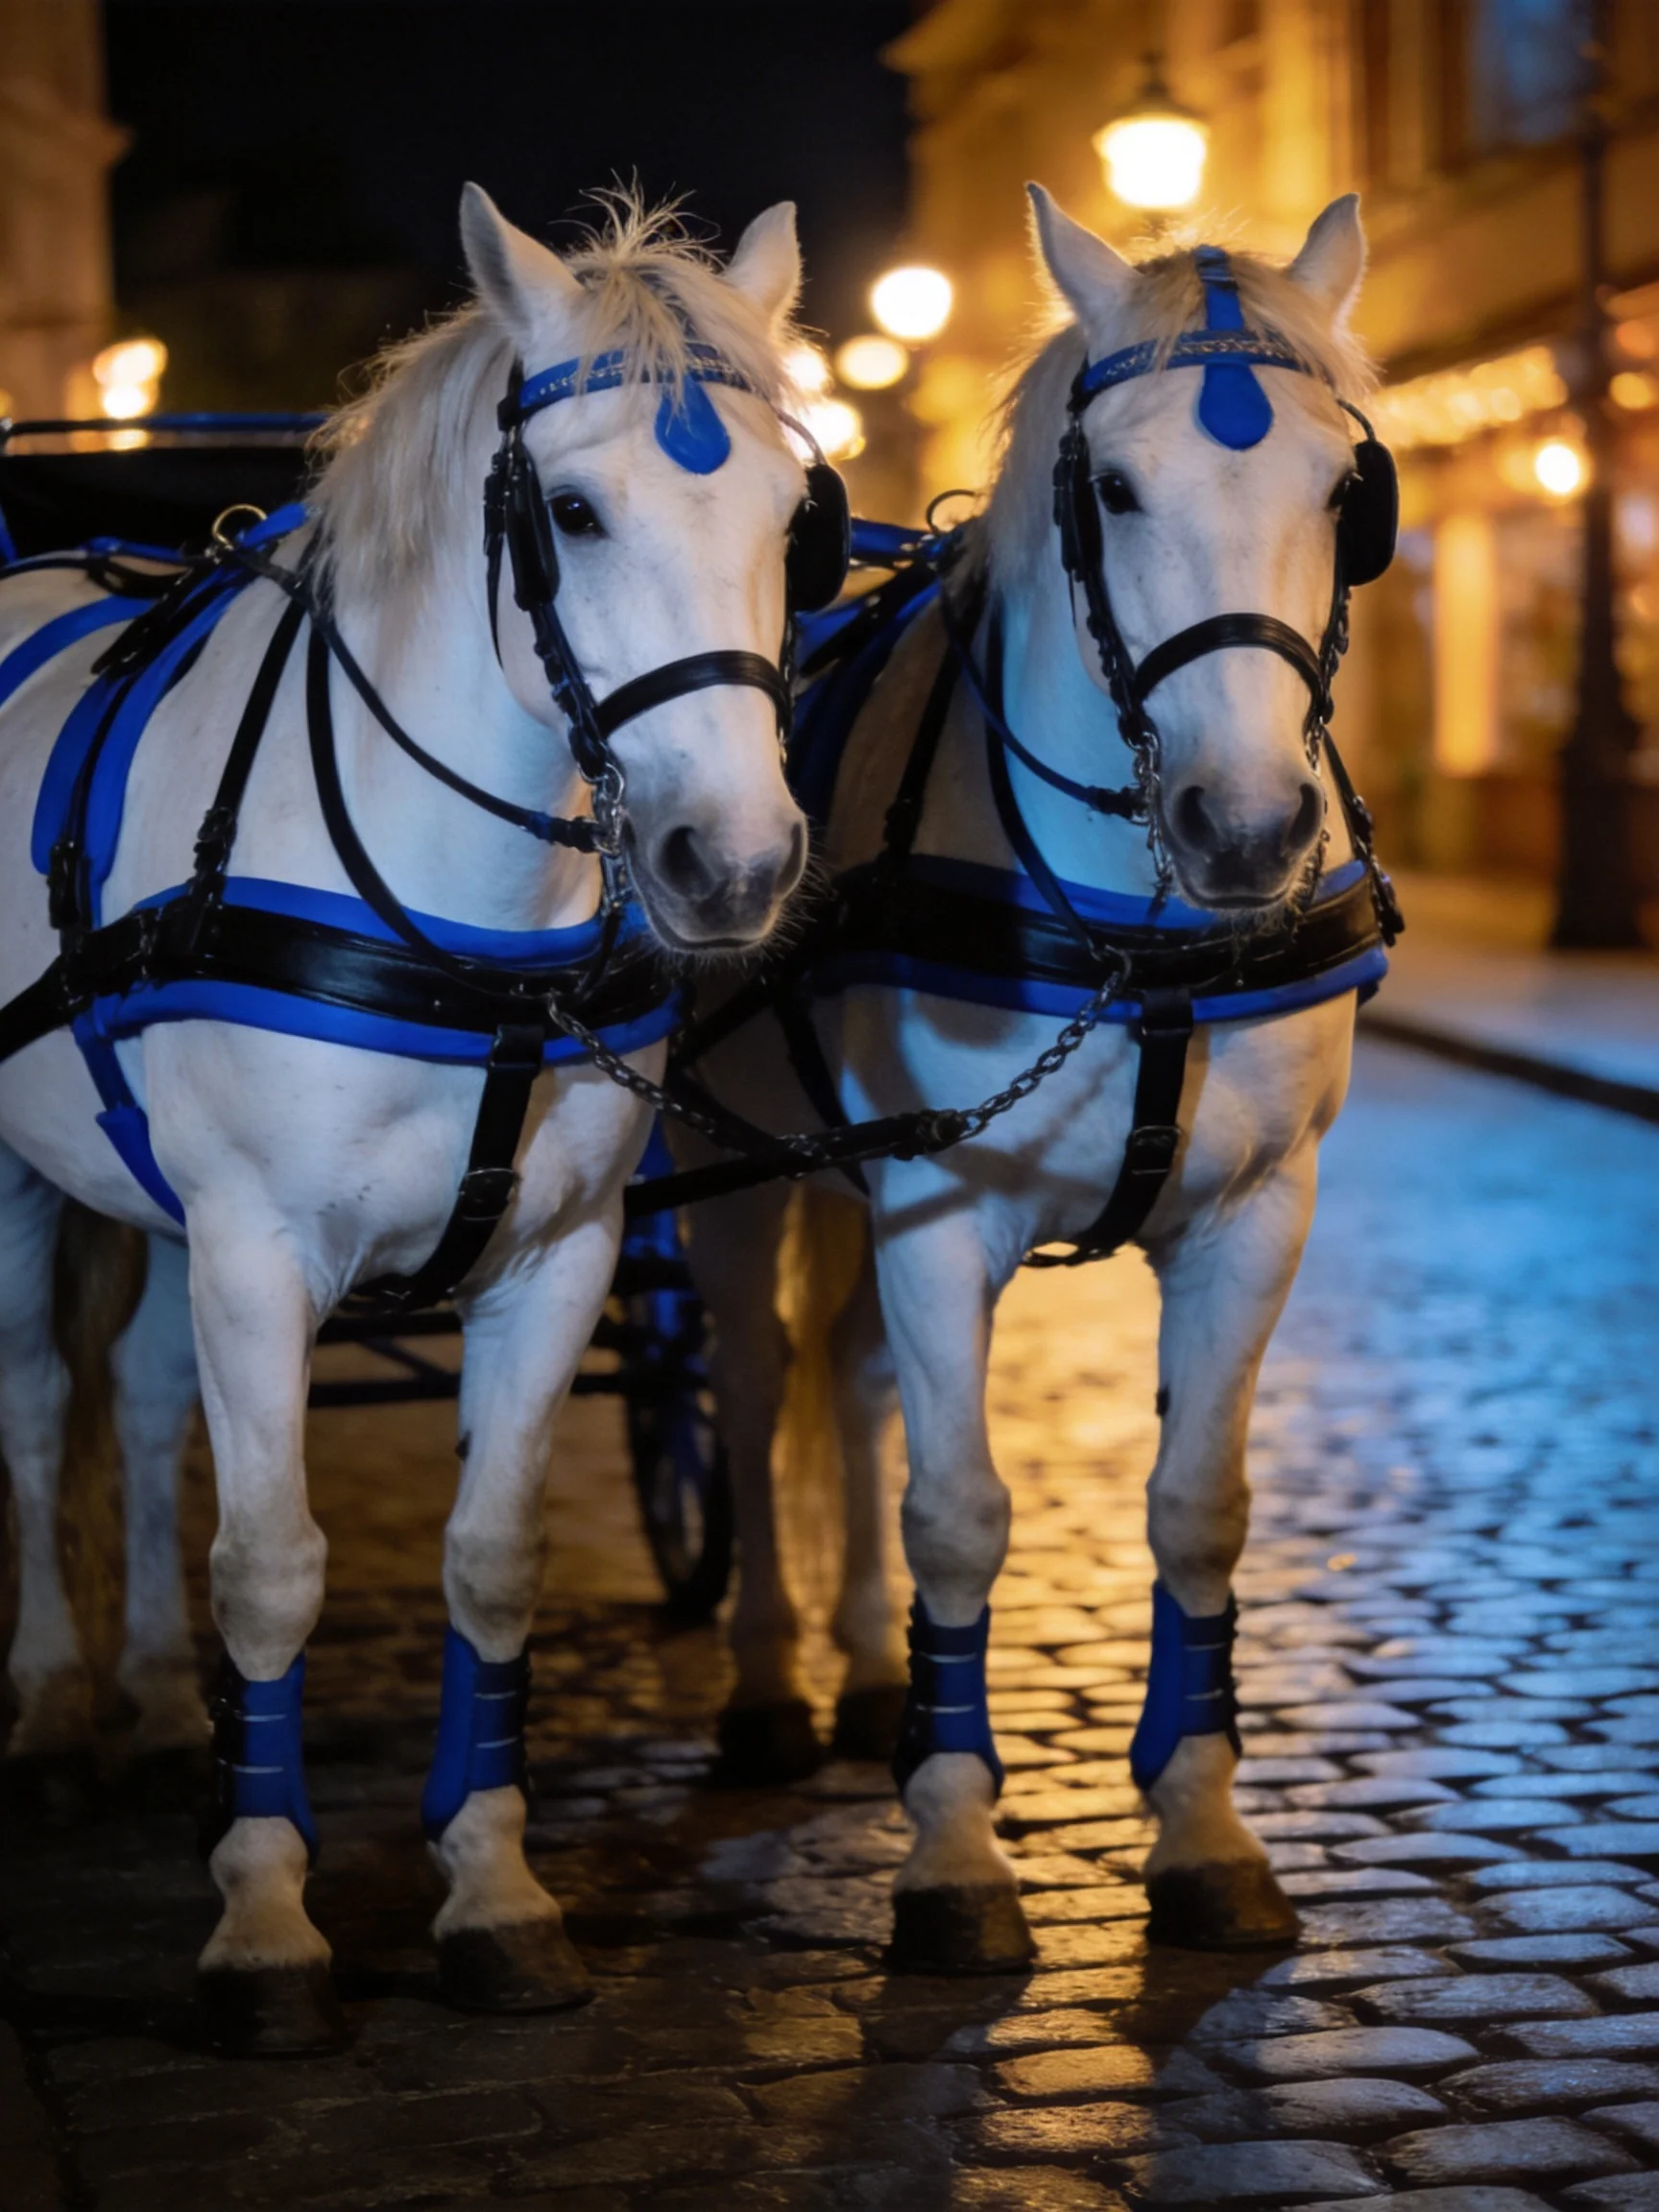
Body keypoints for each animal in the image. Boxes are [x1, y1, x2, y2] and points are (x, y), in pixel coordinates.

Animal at [0, 183, 836, 2051]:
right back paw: (52, 1709)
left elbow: (490, 1560)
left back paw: (149, 1700)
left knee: (140, 1407)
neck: (470, 927)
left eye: (796, 519)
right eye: (573, 511)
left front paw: (494, 1895)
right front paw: (264, 1924)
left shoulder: (557, 1258)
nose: (735, 863)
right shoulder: (256, 1251)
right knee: (37, 1405)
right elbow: (269, 1563)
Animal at [676, 187, 1398, 1972]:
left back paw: (876, 1678)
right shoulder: (940, 1208)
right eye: (1114, 487)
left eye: (1344, 495)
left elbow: (1198, 1505)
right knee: (758, 1371)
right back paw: (771, 1684)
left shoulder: (1251, 1214)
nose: (1245, 828)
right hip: (739, 1174)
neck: (1141, 933)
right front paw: (950, 1856)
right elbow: (957, 1508)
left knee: (851, 1380)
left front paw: (1203, 1834)